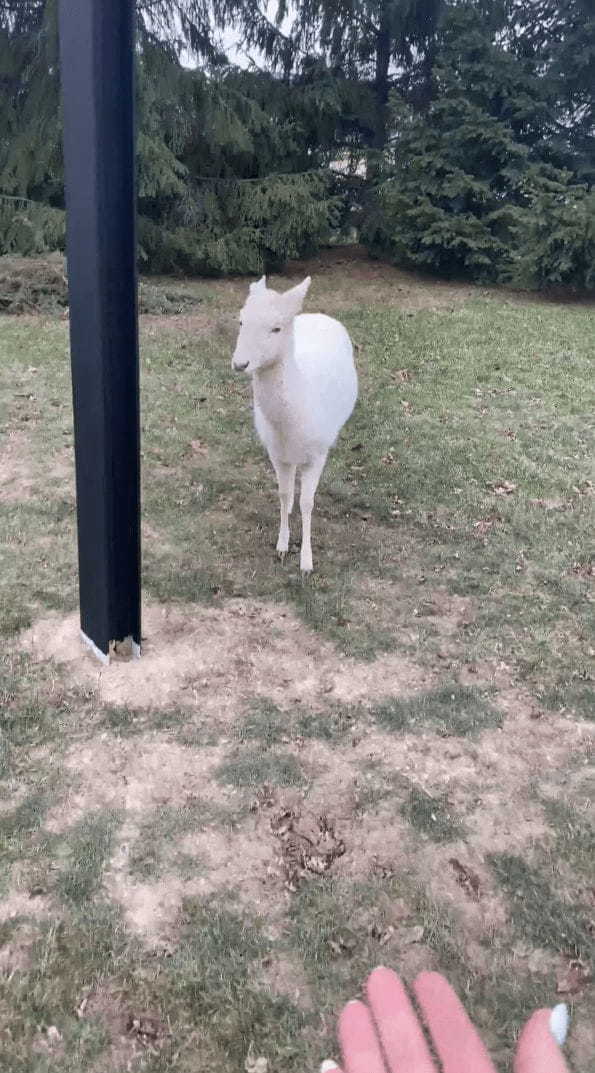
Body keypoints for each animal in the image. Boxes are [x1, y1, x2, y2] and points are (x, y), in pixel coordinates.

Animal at [232, 278, 358, 579]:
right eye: (241, 320)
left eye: (276, 328)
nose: (240, 363)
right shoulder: (276, 452)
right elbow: (284, 493)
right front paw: (281, 545)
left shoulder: (318, 454)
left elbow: (307, 503)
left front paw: (306, 563)